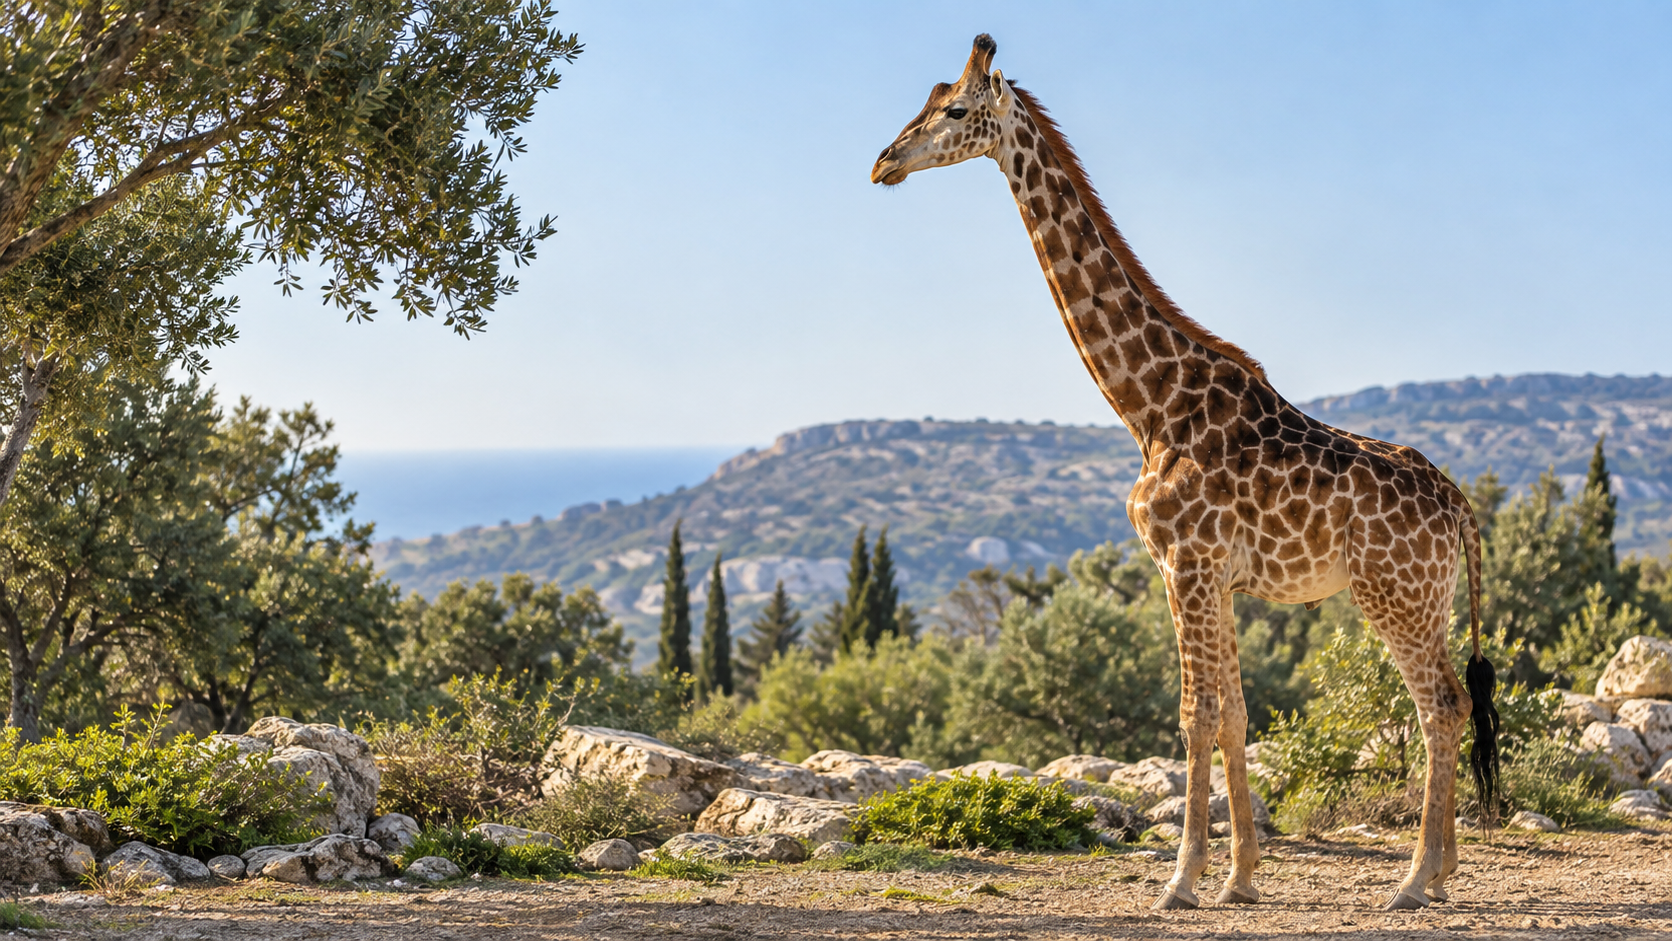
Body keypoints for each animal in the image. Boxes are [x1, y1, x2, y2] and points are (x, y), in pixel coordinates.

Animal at [871, 35, 1500, 913]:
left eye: (954, 110)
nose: (883, 163)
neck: (1150, 404)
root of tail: (1459, 505)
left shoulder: (1184, 563)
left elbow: (1194, 714)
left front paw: (1179, 879)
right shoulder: (1219, 577)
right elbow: (1233, 713)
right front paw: (1239, 877)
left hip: (1392, 593)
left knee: (1438, 704)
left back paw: (1412, 880)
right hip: (1428, 597)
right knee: (1452, 700)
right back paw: (1439, 874)